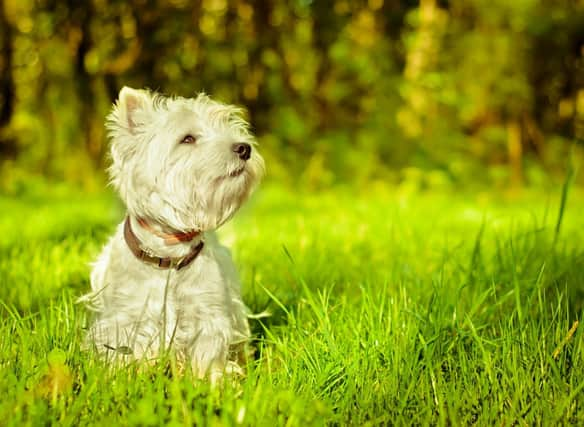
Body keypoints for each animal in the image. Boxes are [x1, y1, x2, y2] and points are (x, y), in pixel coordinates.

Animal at [79, 87, 264, 382]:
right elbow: (124, 351)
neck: (170, 254)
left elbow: (209, 352)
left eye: (227, 125)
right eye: (187, 139)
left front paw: (214, 381)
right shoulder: (128, 317)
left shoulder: (208, 312)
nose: (244, 147)